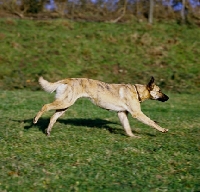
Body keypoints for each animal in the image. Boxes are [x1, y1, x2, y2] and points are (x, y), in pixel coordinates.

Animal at [32, 76, 169, 136]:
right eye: (160, 91)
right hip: (64, 103)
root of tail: (68, 79)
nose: (168, 98)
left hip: (64, 106)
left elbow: (127, 128)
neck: (136, 91)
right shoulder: (137, 114)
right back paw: (35, 120)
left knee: (52, 117)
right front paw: (162, 129)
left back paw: (48, 131)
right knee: (45, 106)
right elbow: (152, 122)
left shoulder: (122, 114)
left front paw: (133, 137)